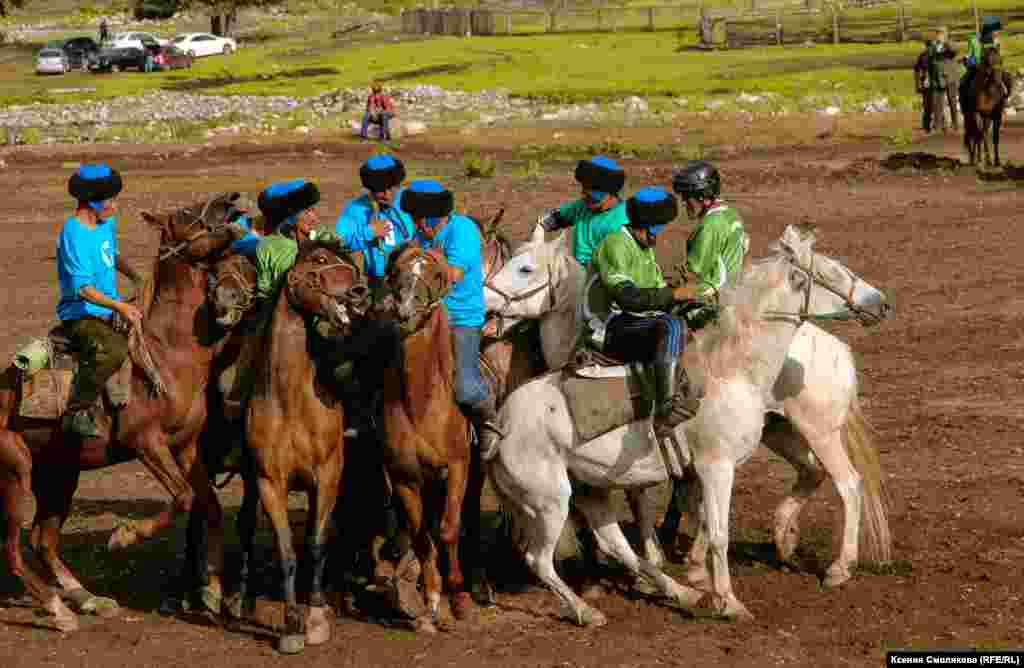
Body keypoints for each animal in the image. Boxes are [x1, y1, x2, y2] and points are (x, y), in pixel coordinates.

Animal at [0, 191, 245, 631]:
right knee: (12, 547)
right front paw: (124, 535)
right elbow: (183, 498)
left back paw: (86, 598)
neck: (168, 352)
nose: (232, 199)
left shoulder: (186, 446)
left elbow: (210, 507)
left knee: (41, 539)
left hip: (59, 474)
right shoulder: (145, 442)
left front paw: (212, 592)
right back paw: (57, 609)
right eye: (186, 212)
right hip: (16, 473)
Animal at [225, 242, 372, 655]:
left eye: (348, 261)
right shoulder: (269, 483)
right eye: (319, 261)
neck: (291, 402)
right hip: (249, 480)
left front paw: (317, 617)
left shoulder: (328, 477)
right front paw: (292, 624)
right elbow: (287, 550)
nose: (360, 292)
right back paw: (241, 597)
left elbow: (316, 544)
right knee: (245, 525)